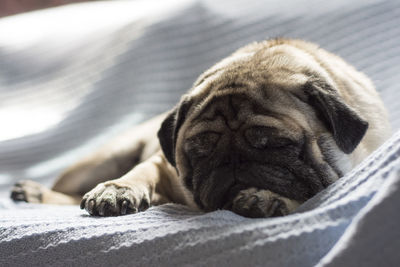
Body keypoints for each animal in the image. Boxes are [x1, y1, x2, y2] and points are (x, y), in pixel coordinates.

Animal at [10, 38, 390, 219]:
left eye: (276, 144)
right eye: (200, 151)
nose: (233, 162)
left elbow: (310, 190)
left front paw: (266, 197)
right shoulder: (162, 163)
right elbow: (139, 172)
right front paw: (117, 190)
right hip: (103, 158)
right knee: (70, 190)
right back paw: (35, 193)